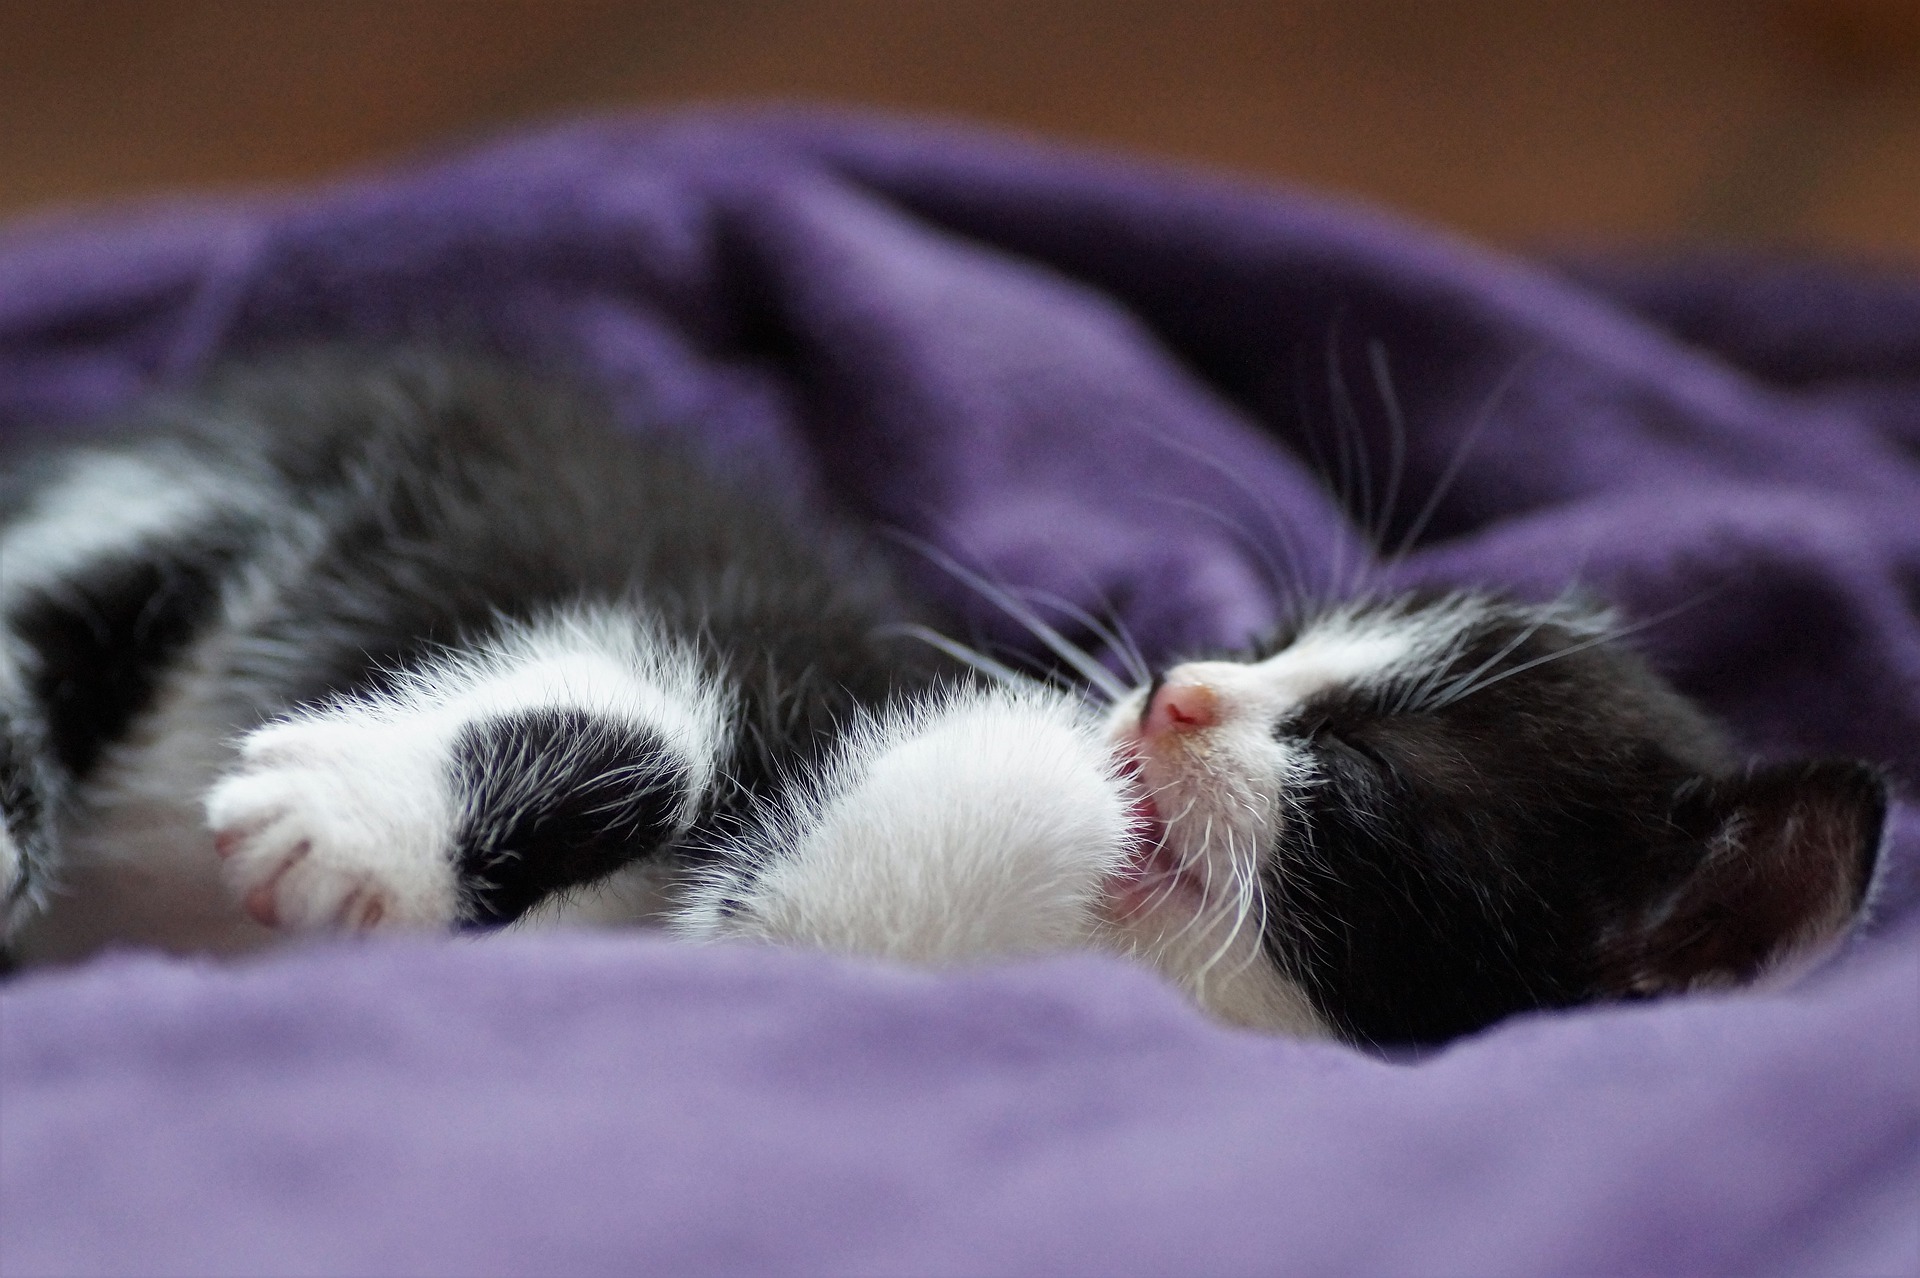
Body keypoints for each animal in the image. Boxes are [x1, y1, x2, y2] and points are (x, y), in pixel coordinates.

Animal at [0, 351, 1889, 1043]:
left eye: (1352, 787)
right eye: (1268, 632)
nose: (1173, 692)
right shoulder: (780, 642)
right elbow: (661, 686)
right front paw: (355, 819)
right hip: (236, 480)